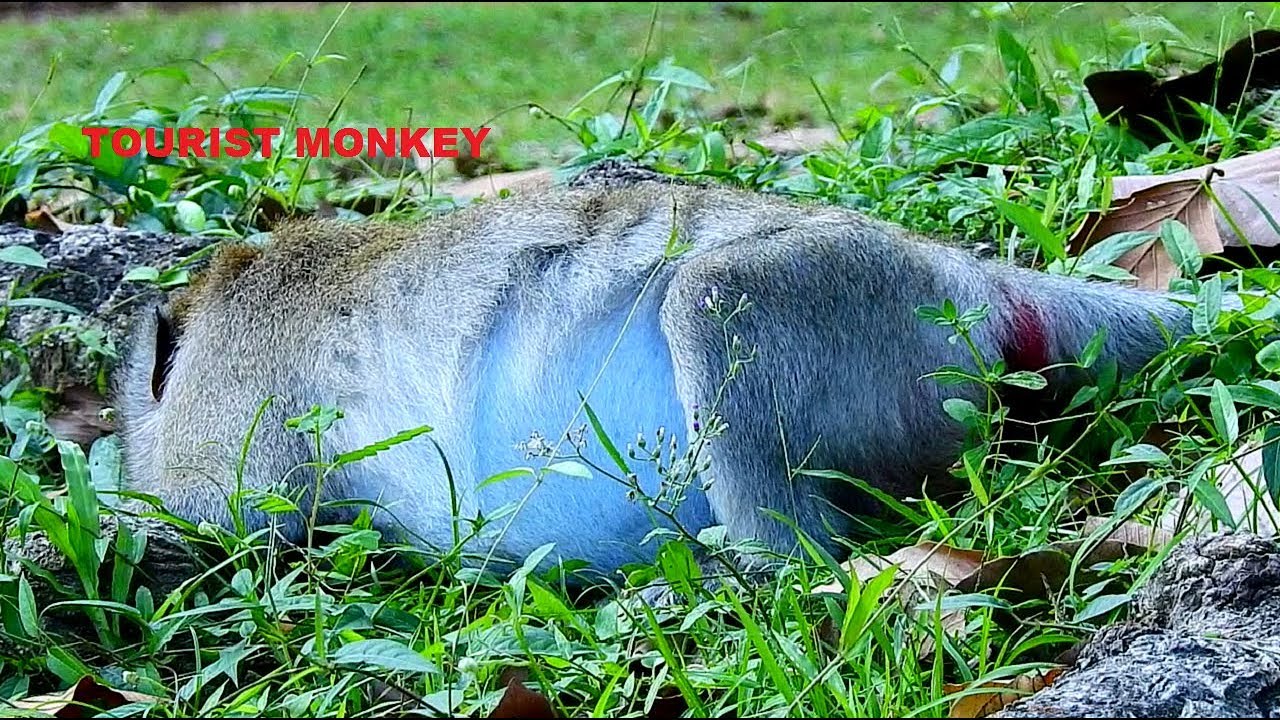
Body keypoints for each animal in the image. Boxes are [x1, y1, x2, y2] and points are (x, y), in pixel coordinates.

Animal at [111, 179, 1199, 586]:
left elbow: (234, 519)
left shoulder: (231, 403)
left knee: (710, 297)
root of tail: (968, 276)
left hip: (860, 296)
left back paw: (754, 572)